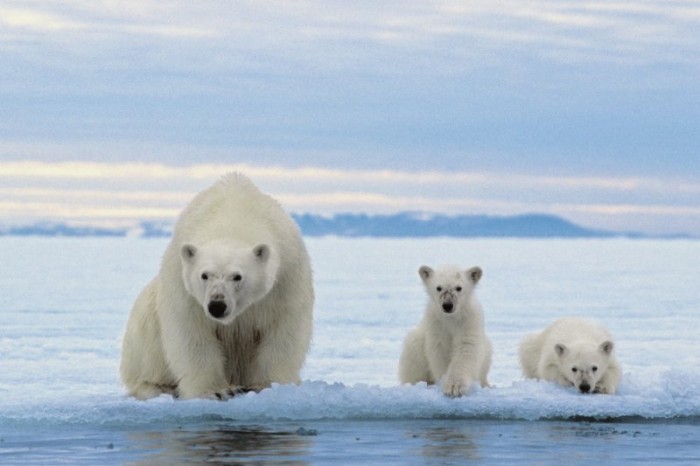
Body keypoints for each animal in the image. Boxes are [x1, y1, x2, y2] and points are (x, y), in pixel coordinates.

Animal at [121, 173, 314, 398]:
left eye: (237, 276)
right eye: (205, 275)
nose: (217, 305)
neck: (232, 216)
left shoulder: (286, 275)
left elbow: (283, 331)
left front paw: (268, 385)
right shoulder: (182, 284)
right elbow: (192, 334)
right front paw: (217, 391)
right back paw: (158, 387)